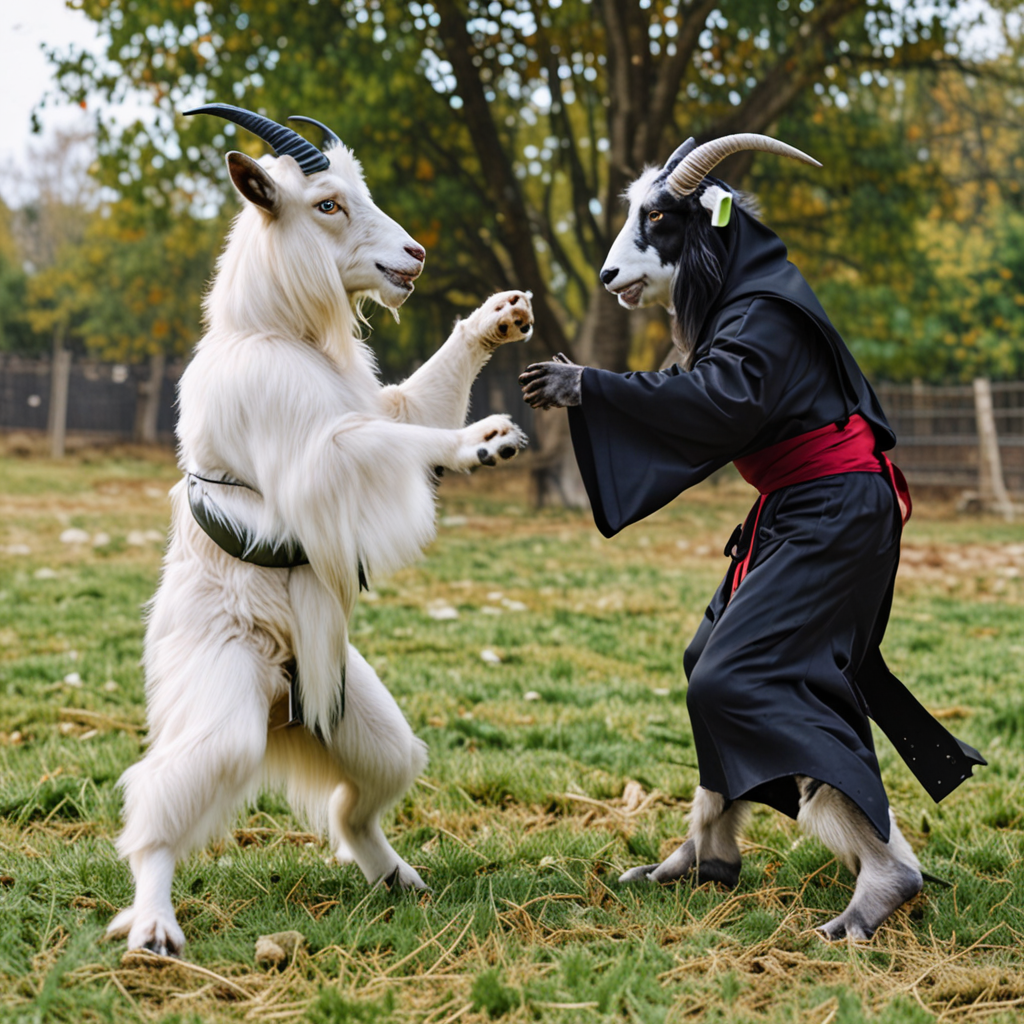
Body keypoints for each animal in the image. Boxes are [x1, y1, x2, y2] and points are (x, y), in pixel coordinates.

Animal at [106, 105, 533, 956]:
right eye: (328, 204)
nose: (415, 254)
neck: (272, 331)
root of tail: (279, 704)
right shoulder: (319, 461)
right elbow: (389, 443)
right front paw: (475, 443)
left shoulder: (376, 404)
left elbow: (406, 406)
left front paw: (496, 320)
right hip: (222, 708)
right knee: (161, 804)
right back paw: (154, 922)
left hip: (358, 720)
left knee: (356, 806)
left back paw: (394, 875)